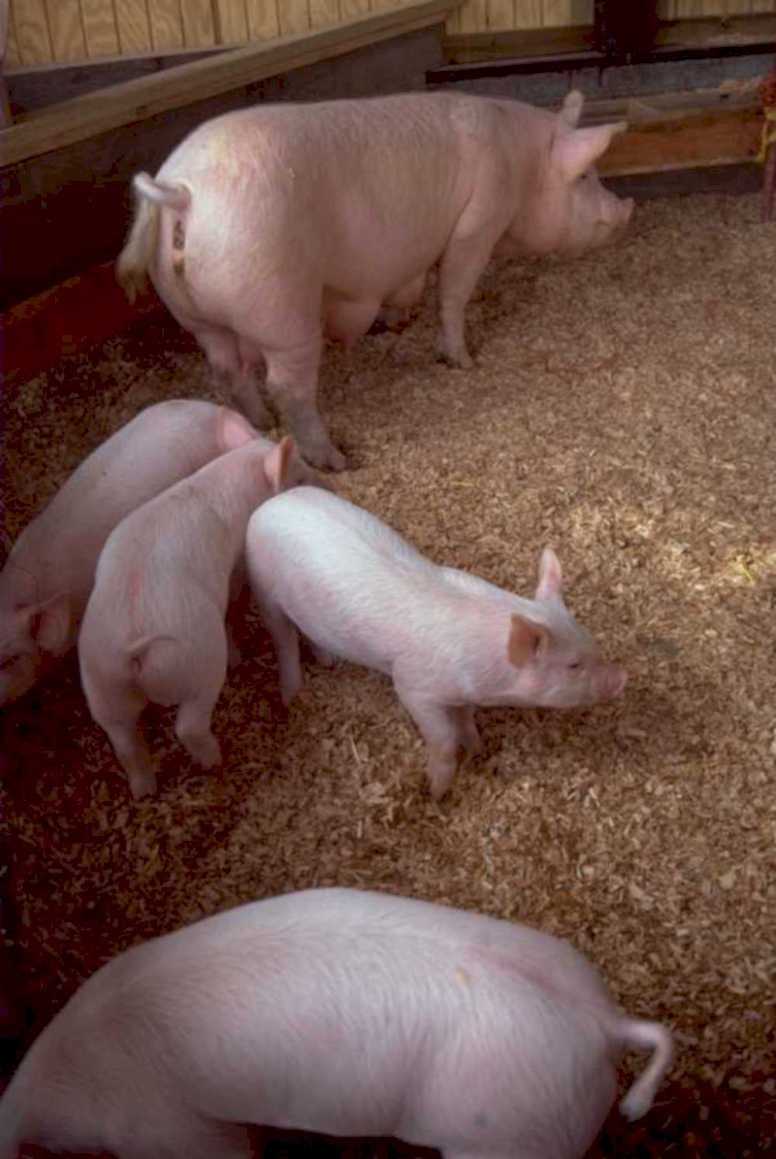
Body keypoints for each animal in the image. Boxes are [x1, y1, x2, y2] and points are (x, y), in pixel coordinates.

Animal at [78, 434, 318, 800]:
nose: (330, 484)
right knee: (188, 726)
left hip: (102, 687)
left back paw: (145, 791)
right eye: (300, 476)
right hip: (197, 664)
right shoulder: (237, 561)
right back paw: (216, 759)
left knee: (125, 743)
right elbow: (234, 597)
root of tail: (134, 647)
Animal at [116, 90, 633, 471]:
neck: (523, 165)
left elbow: (410, 285)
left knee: (226, 366)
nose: (624, 210)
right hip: (279, 305)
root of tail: (182, 191)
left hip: (194, 313)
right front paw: (462, 360)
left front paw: (395, 321)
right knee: (288, 384)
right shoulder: (480, 219)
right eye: (584, 176)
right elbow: (454, 291)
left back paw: (260, 423)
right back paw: (333, 459)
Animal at [246, 488, 625, 800]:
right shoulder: (412, 686)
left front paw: (478, 749)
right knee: (283, 638)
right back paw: (292, 696)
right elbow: (442, 737)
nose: (621, 677)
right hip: (262, 586)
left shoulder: (461, 694)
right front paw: (436, 792)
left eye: (591, 645)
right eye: (573, 665)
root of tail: (272, 502)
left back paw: (327, 661)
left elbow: (465, 720)